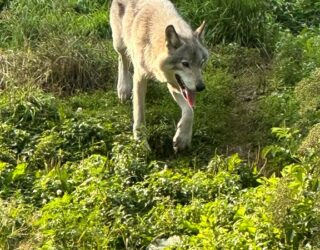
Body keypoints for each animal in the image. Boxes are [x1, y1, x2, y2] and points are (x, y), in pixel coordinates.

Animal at [110, 0, 210, 151]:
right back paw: (123, 89)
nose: (200, 87)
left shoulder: (173, 83)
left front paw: (182, 138)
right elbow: (139, 113)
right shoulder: (139, 77)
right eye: (185, 64)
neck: (152, 42)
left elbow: (190, 111)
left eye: (201, 63)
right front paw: (141, 143)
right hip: (119, 43)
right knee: (123, 58)